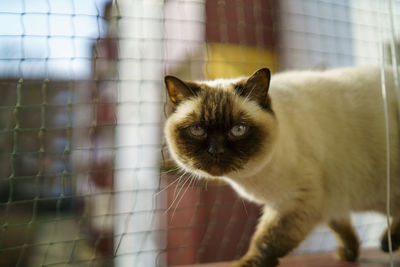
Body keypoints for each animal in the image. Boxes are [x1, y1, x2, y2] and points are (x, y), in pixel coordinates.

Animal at [162, 66, 400, 267]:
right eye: (198, 130)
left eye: (238, 130)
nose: (216, 151)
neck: (248, 177)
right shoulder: (328, 199)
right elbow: (341, 226)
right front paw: (349, 253)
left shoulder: (295, 201)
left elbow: (267, 241)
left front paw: (246, 263)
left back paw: (388, 242)